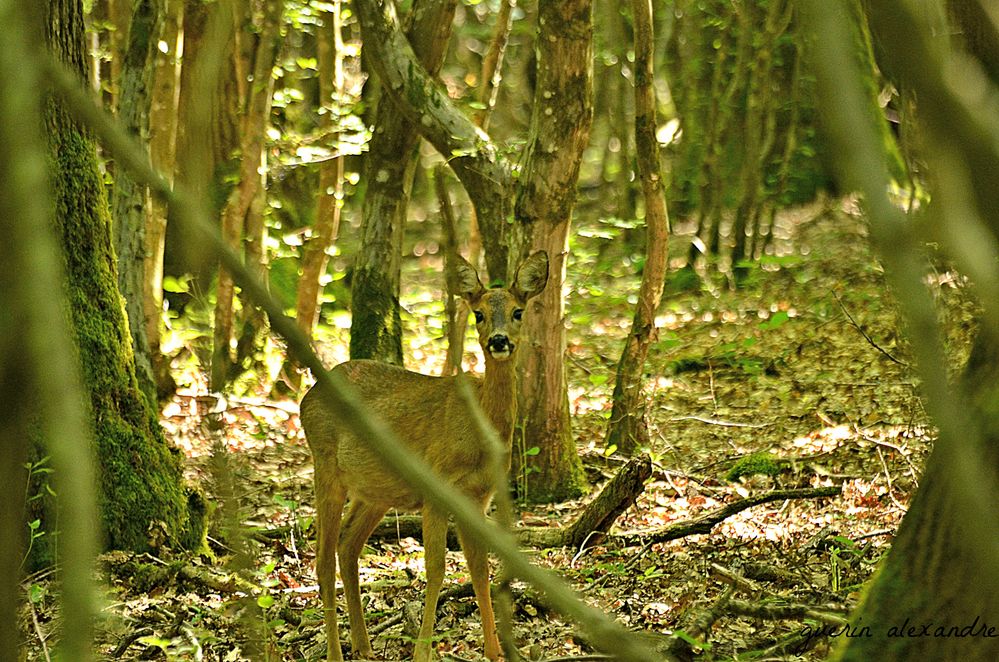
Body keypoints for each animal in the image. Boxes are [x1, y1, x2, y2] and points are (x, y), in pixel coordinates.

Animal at [302, 252, 552, 660]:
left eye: (518, 311)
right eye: (479, 313)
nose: (499, 341)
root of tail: (306, 399)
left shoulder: (477, 496)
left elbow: (479, 569)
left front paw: (494, 651)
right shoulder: (438, 487)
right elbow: (436, 568)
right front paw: (423, 651)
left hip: (376, 490)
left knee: (347, 546)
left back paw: (364, 646)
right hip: (324, 464)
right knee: (322, 559)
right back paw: (337, 653)